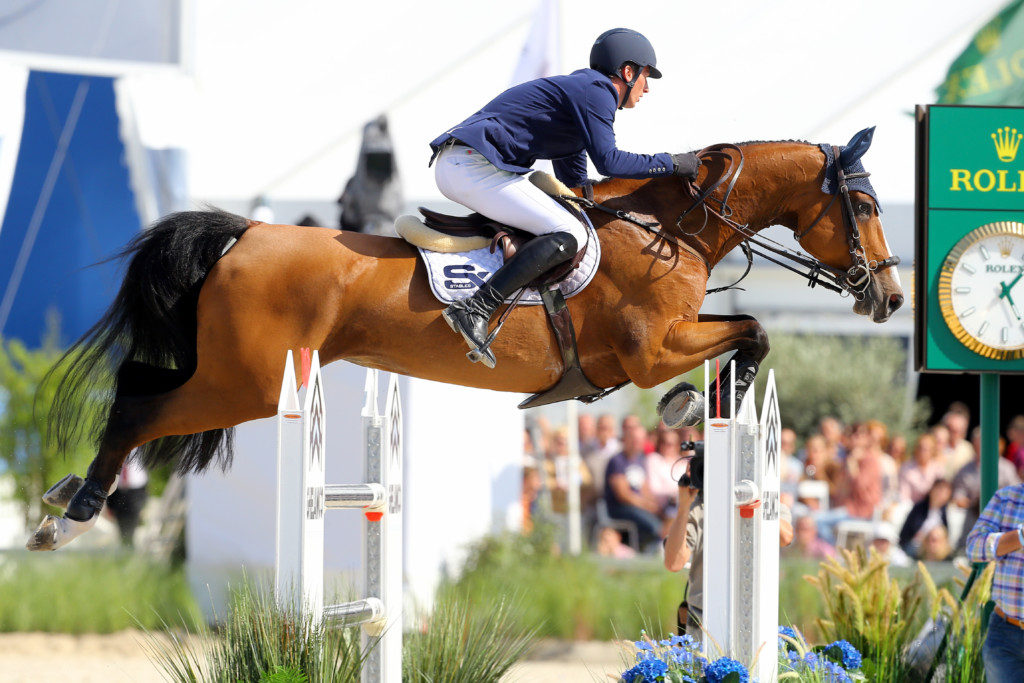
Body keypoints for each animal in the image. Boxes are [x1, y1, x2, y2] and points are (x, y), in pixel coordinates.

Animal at [25, 131, 905, 552]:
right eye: (863, 206)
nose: (891, 297)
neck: (671, 228)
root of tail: (246, 233)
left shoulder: (660, 345)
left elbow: (748, 334)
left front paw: (700, 413)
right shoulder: (650, 349)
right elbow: (752, 331)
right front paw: (692, 405)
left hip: (236, 376)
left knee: (138, 385)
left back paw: (64, 495)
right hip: (242, 382)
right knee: (138, 407)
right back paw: (69, 518)